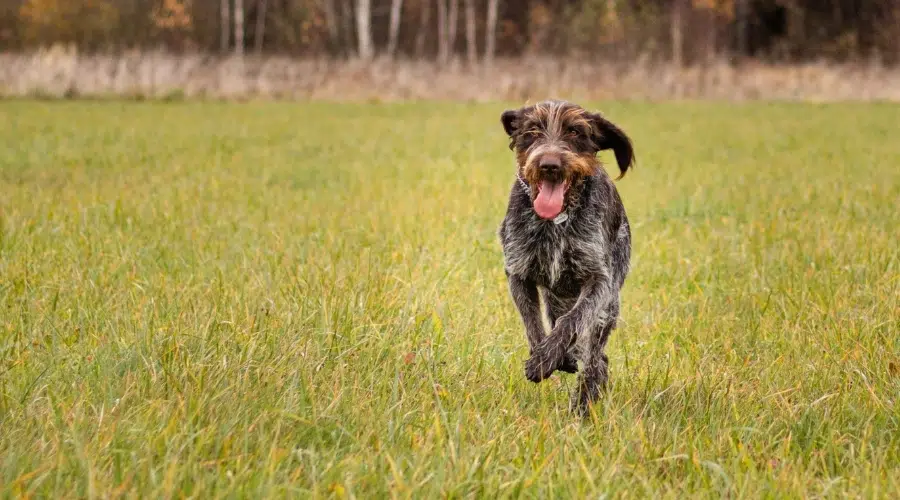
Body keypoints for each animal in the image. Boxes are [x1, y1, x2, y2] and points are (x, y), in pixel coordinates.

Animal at [496, 98, 636, 414]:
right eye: (532, 130)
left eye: (575, 131)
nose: (549, 165)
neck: (555, 221)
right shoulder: (518, 273)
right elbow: (532, 322)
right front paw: (544, 356)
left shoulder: (599, 281)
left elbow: (572, 321)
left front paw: (546, 358)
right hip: (556, 297)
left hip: (607, 308)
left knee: (596, 360)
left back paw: (583, 405)